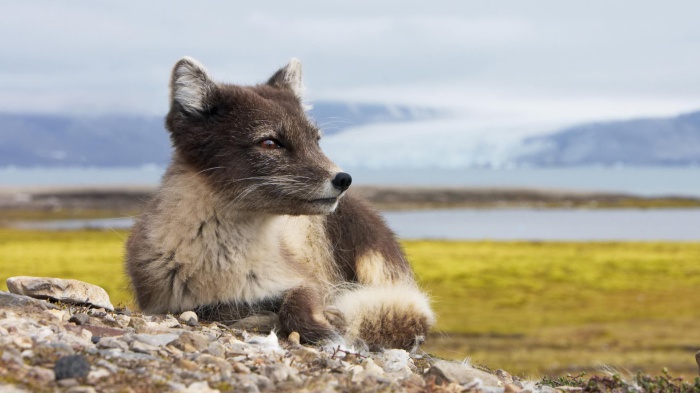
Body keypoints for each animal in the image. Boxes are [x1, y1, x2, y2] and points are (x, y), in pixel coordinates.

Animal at [123, 56, 434, 350]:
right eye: (270, 142)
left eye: (316, 140)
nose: (344, 179)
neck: (226, 264)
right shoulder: (171, 302)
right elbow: (218, 309)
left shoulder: (305, 280)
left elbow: (297, 305)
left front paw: (326, 324)